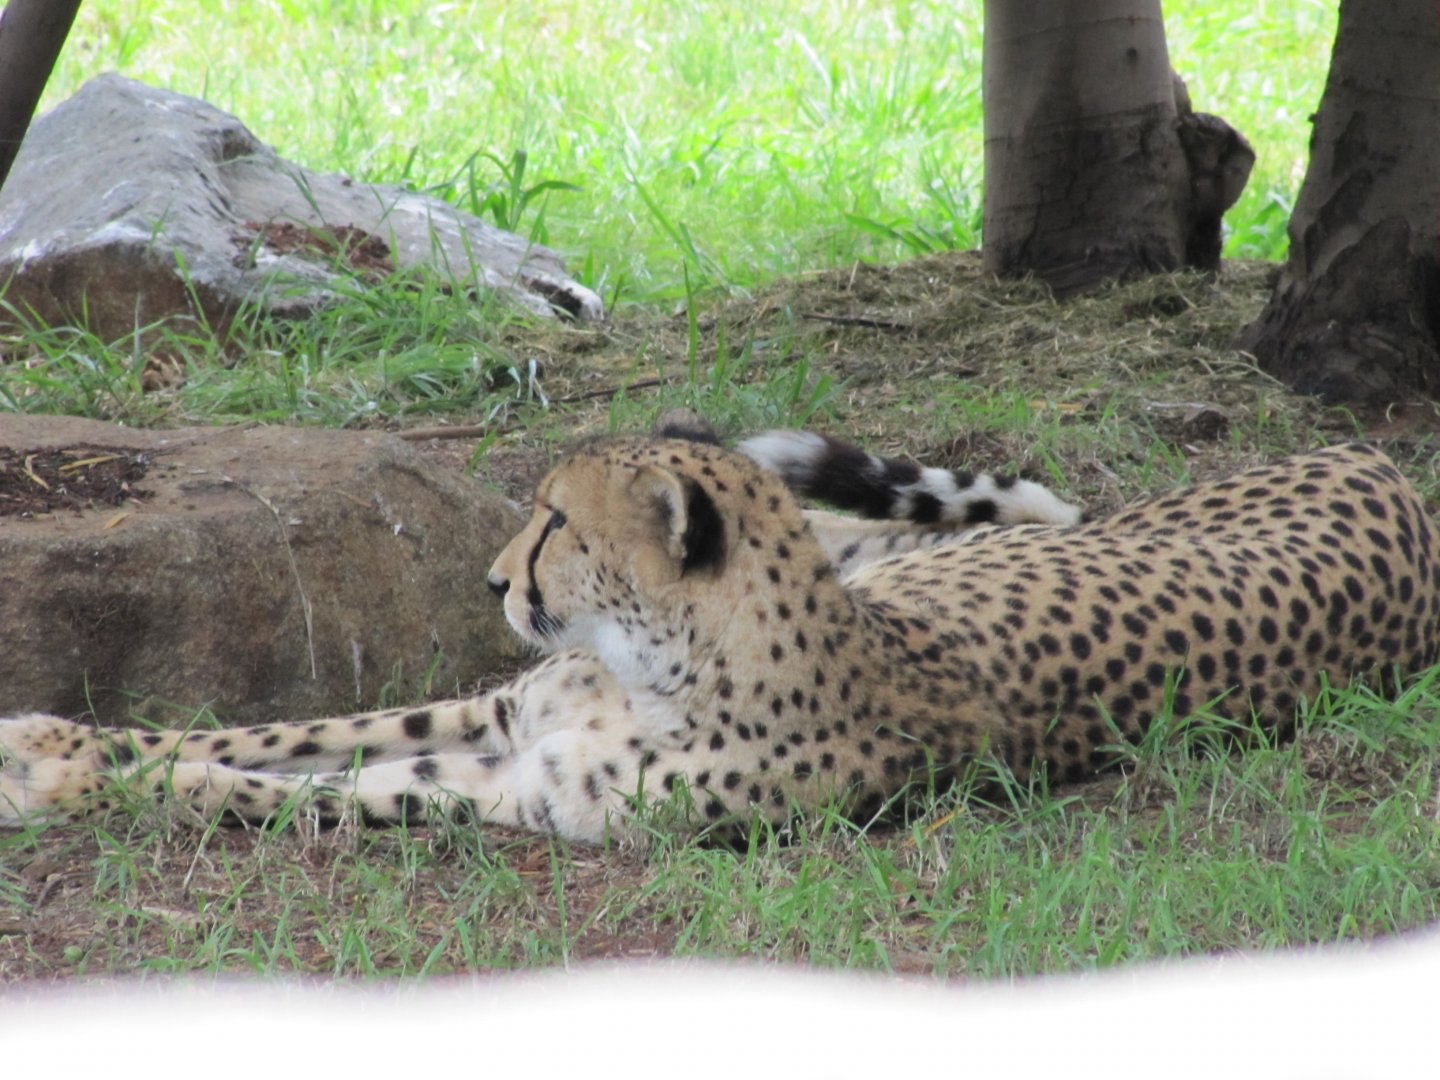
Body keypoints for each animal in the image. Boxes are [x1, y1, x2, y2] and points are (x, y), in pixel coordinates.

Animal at [2, 430, 1437, 844]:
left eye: (554, 521)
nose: (490, 580)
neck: (661, 668)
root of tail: (1391, 475)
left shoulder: (533, 796)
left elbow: (291, 787)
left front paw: (68, 785)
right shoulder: (508, 714)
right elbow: (281, 732)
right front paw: (59, 738)